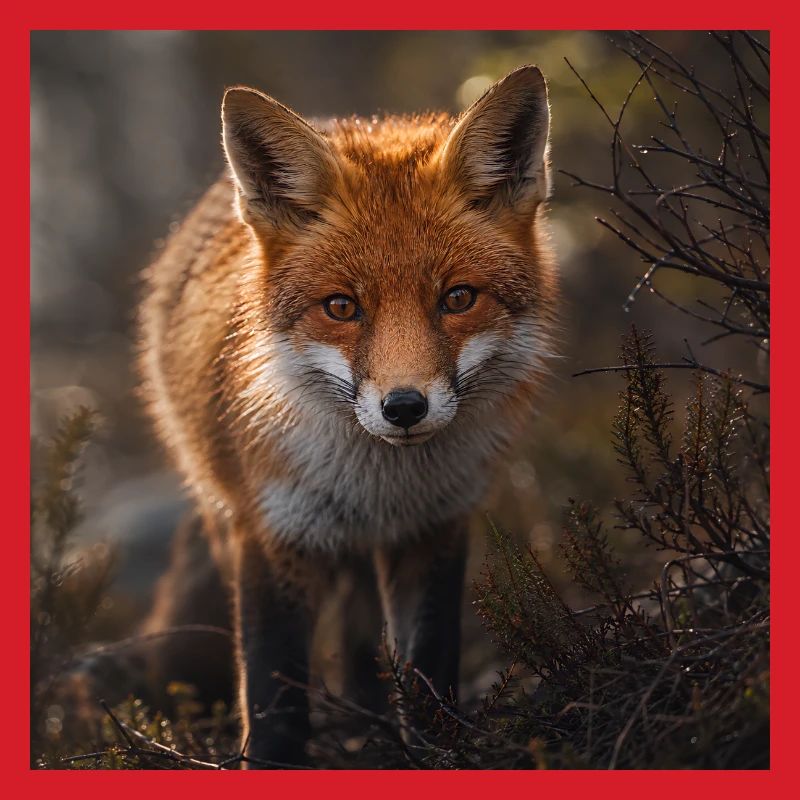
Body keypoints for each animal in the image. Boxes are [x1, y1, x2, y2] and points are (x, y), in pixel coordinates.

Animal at [137, 64, 557, 767]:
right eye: (341, 307)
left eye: (458, 298)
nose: (404, 406)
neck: (378, 486)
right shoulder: (272, 533)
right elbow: (275, 694)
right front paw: (271, 761)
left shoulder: (435, 527)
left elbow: (428, 667)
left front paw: (435, 751)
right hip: (226, 517)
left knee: (364, 643)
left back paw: (371, 725)